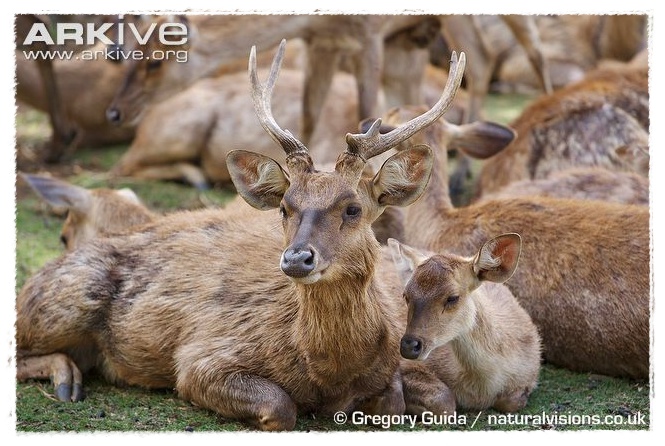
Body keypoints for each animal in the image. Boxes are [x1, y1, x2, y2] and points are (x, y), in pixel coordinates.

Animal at [11, 41, 466, 428]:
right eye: (285, 207)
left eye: (353, 208)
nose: (297, 258)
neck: (330, 371)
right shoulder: (202, 358)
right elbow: (280, 406)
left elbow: (401, 401)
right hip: (64, 302)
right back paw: (66, 378)